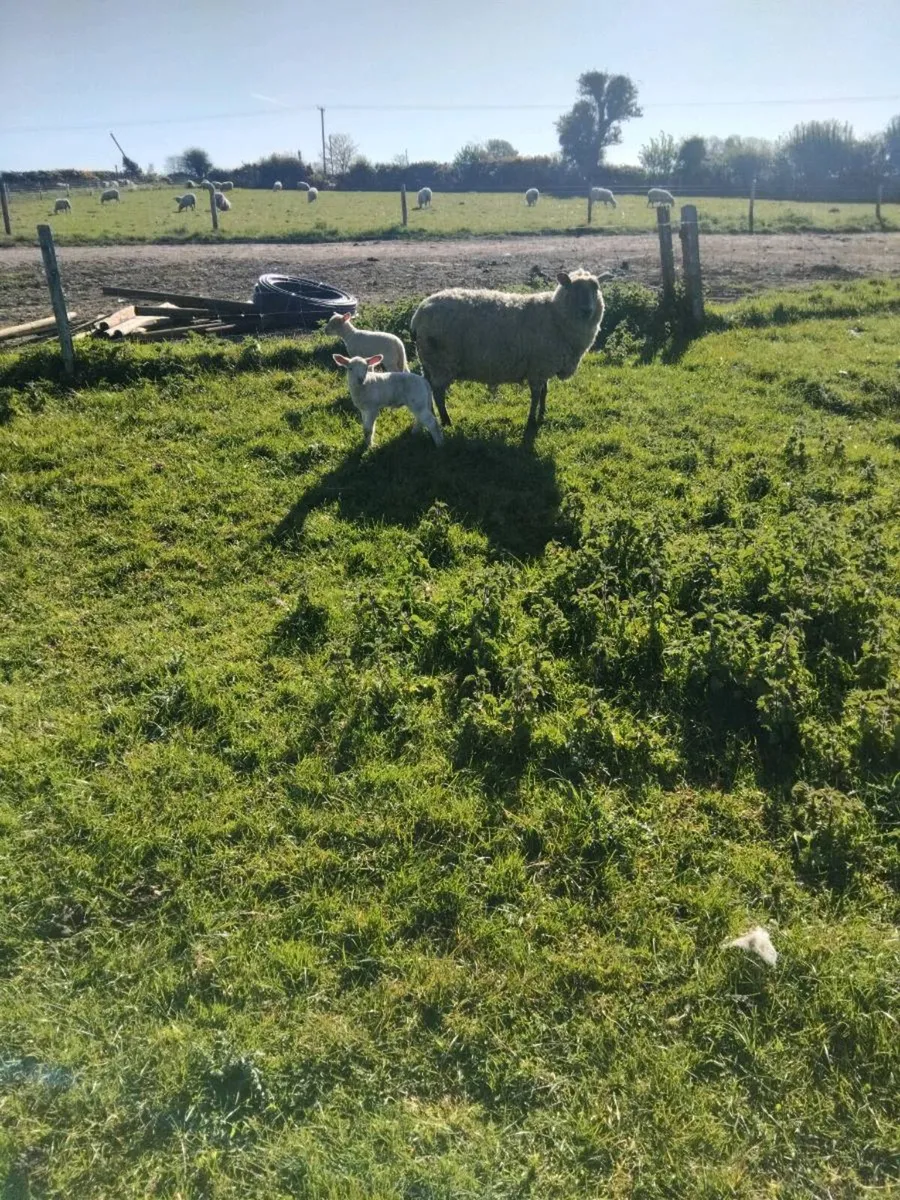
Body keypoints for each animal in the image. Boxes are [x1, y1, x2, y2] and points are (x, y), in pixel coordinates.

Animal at [411, 268, 604, 432]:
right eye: (572, 287)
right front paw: (532, 421)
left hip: (428, 362)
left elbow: (544, 392)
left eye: (596, 288)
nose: (587, 310)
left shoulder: (543, 367)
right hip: (441, 362)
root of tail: (418, 314)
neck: (555, 315)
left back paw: (432, 417)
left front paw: (542, 414)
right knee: (438, 393)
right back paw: (446, 421)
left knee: (429, 389)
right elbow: (536, 395)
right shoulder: (538, 368)